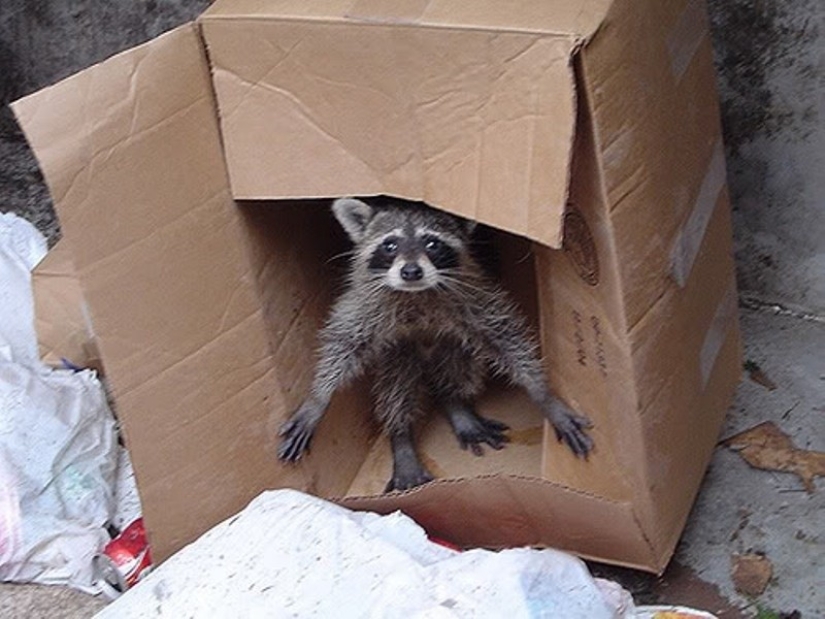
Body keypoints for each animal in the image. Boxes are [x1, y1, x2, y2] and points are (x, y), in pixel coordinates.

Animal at [278, 196, 593, 492]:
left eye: (432, 243)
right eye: (390, 245)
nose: (411, 271)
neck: (416, 293)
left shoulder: (475, 296)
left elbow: (507, 338)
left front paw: (543, 395)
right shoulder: (366, 304)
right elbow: (343, 344)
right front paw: (318, 398)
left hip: (450, 347)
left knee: (458, 361)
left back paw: (454, 402)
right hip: (399, 354)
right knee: (396, 383)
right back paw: (401, 435)